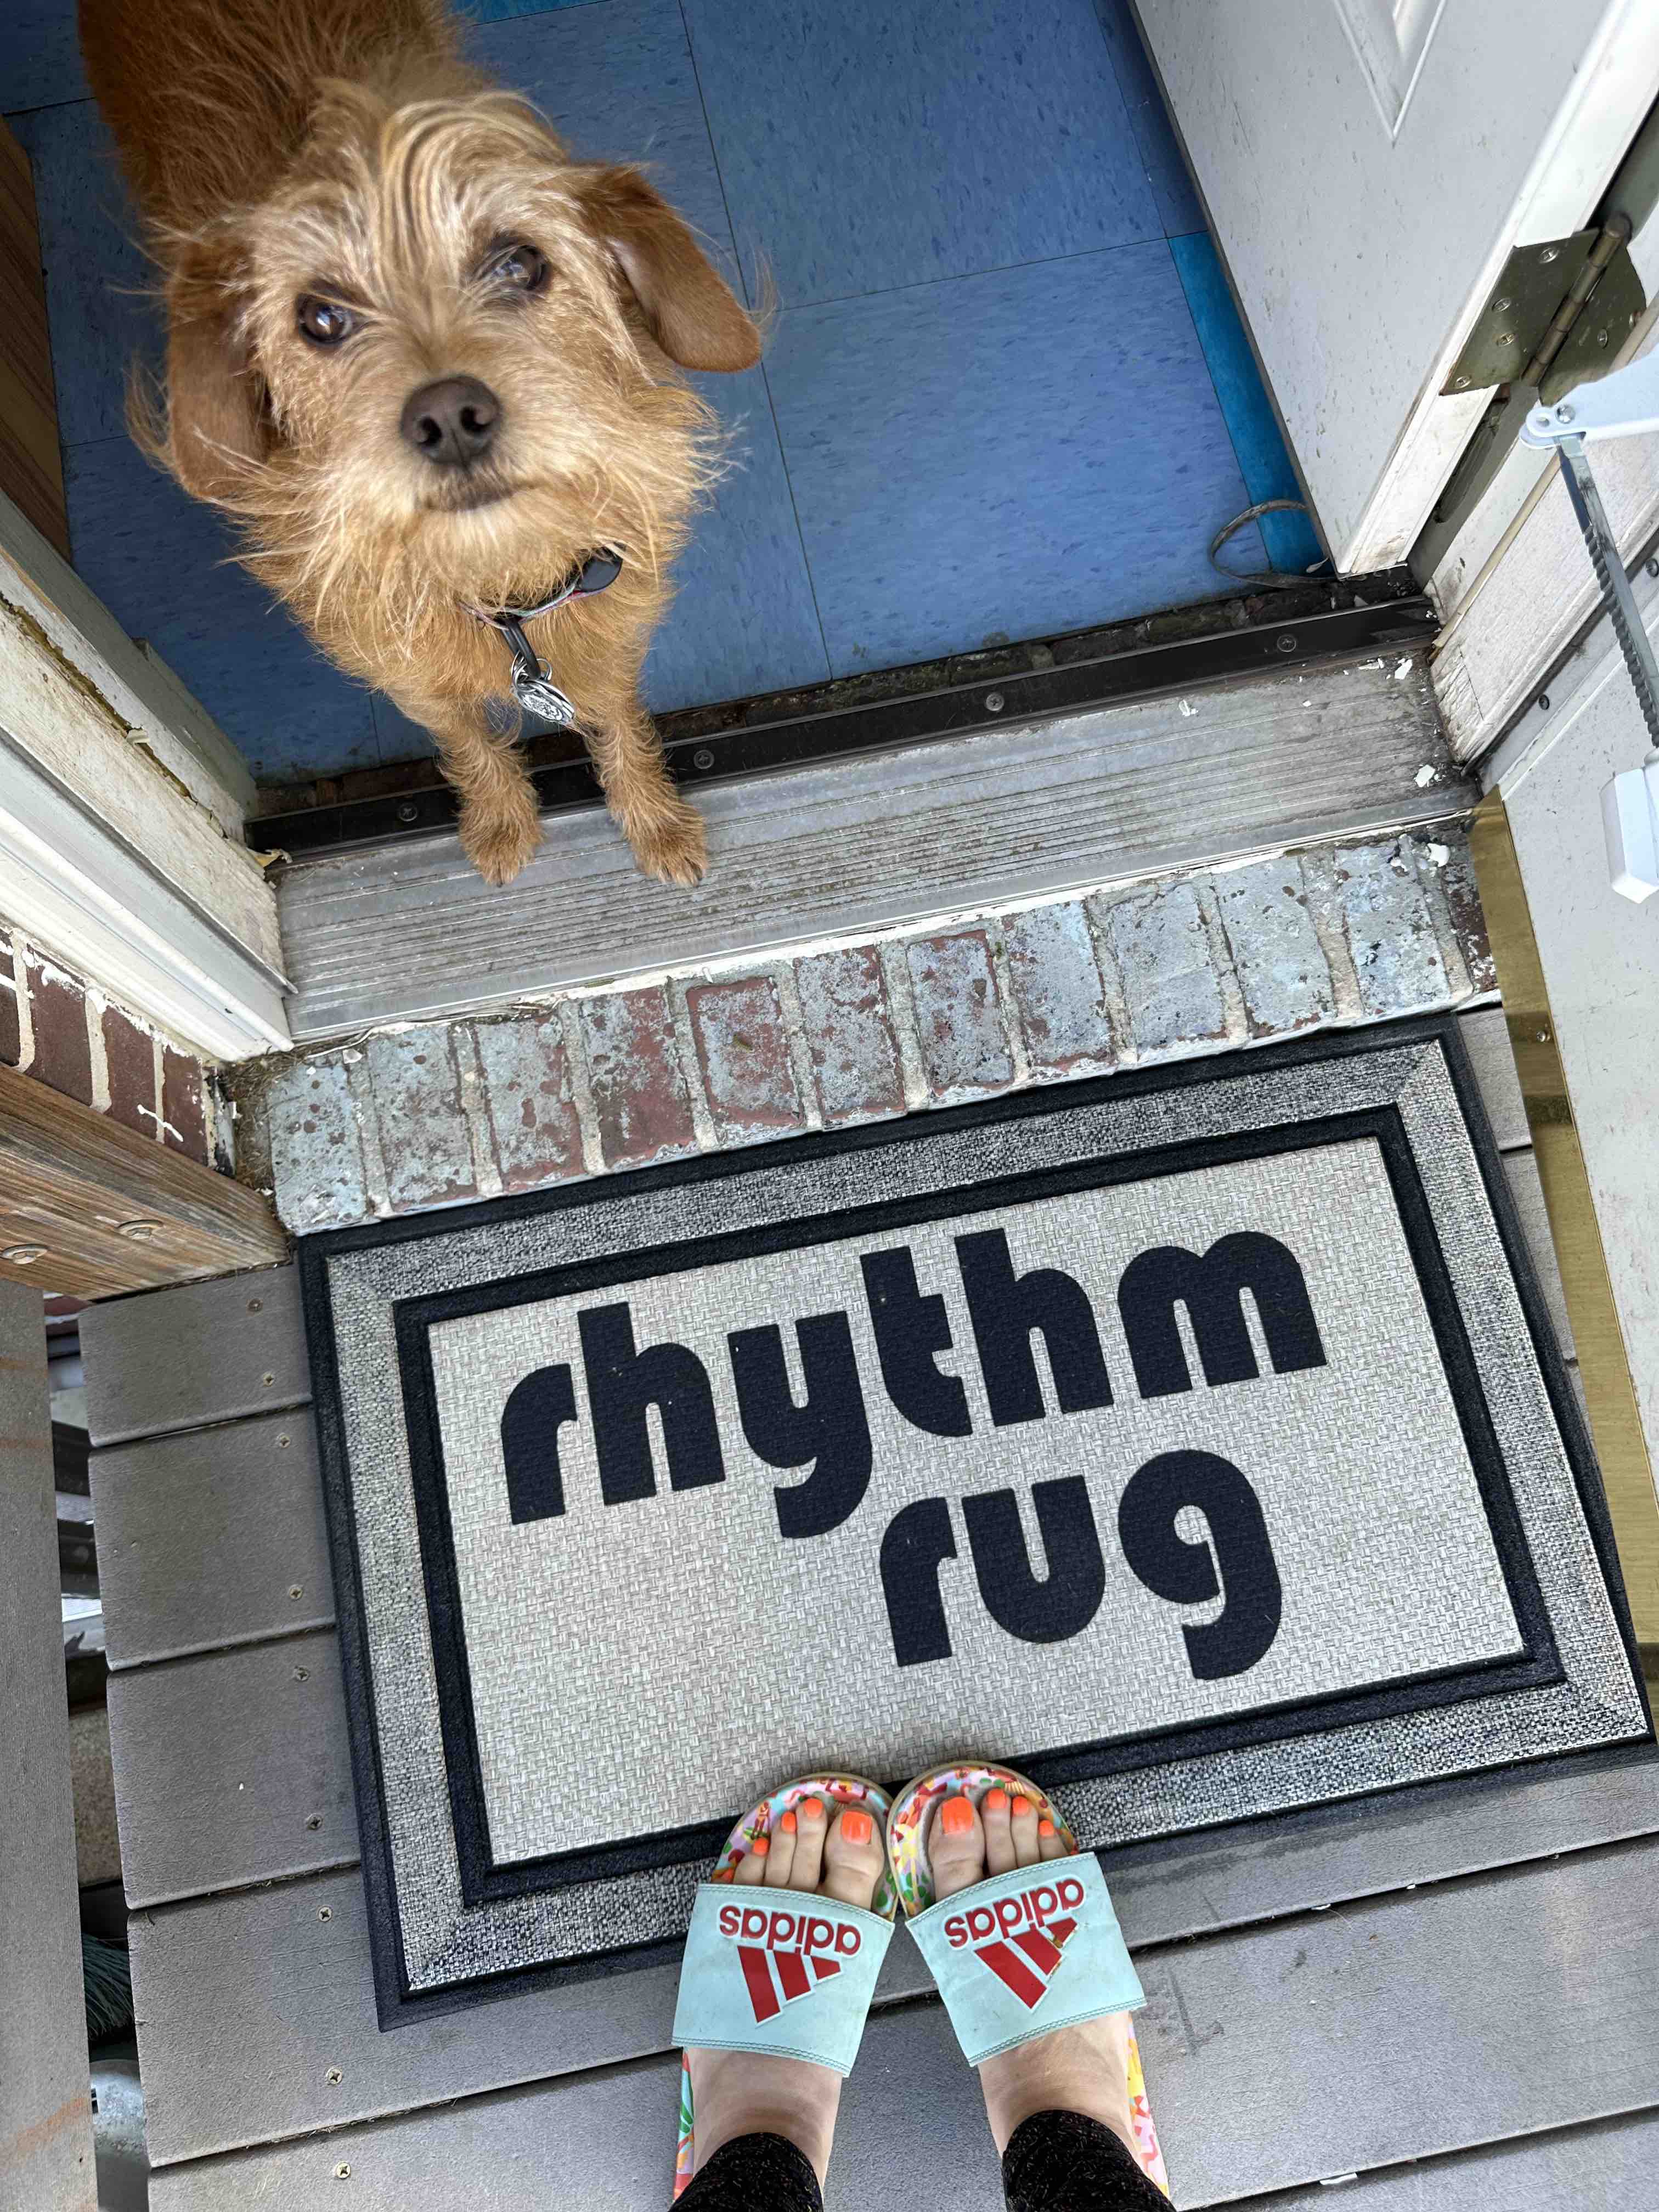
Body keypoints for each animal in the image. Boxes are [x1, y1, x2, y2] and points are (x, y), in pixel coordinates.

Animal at [75, 0, 756, 880]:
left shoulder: (611, 638)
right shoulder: (411, 676)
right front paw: (501, 821)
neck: (502, 588)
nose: (449, 416)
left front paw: (653, 819)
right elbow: (467, 738)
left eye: (520, 264)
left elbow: (612, 719)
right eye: (320, 317)